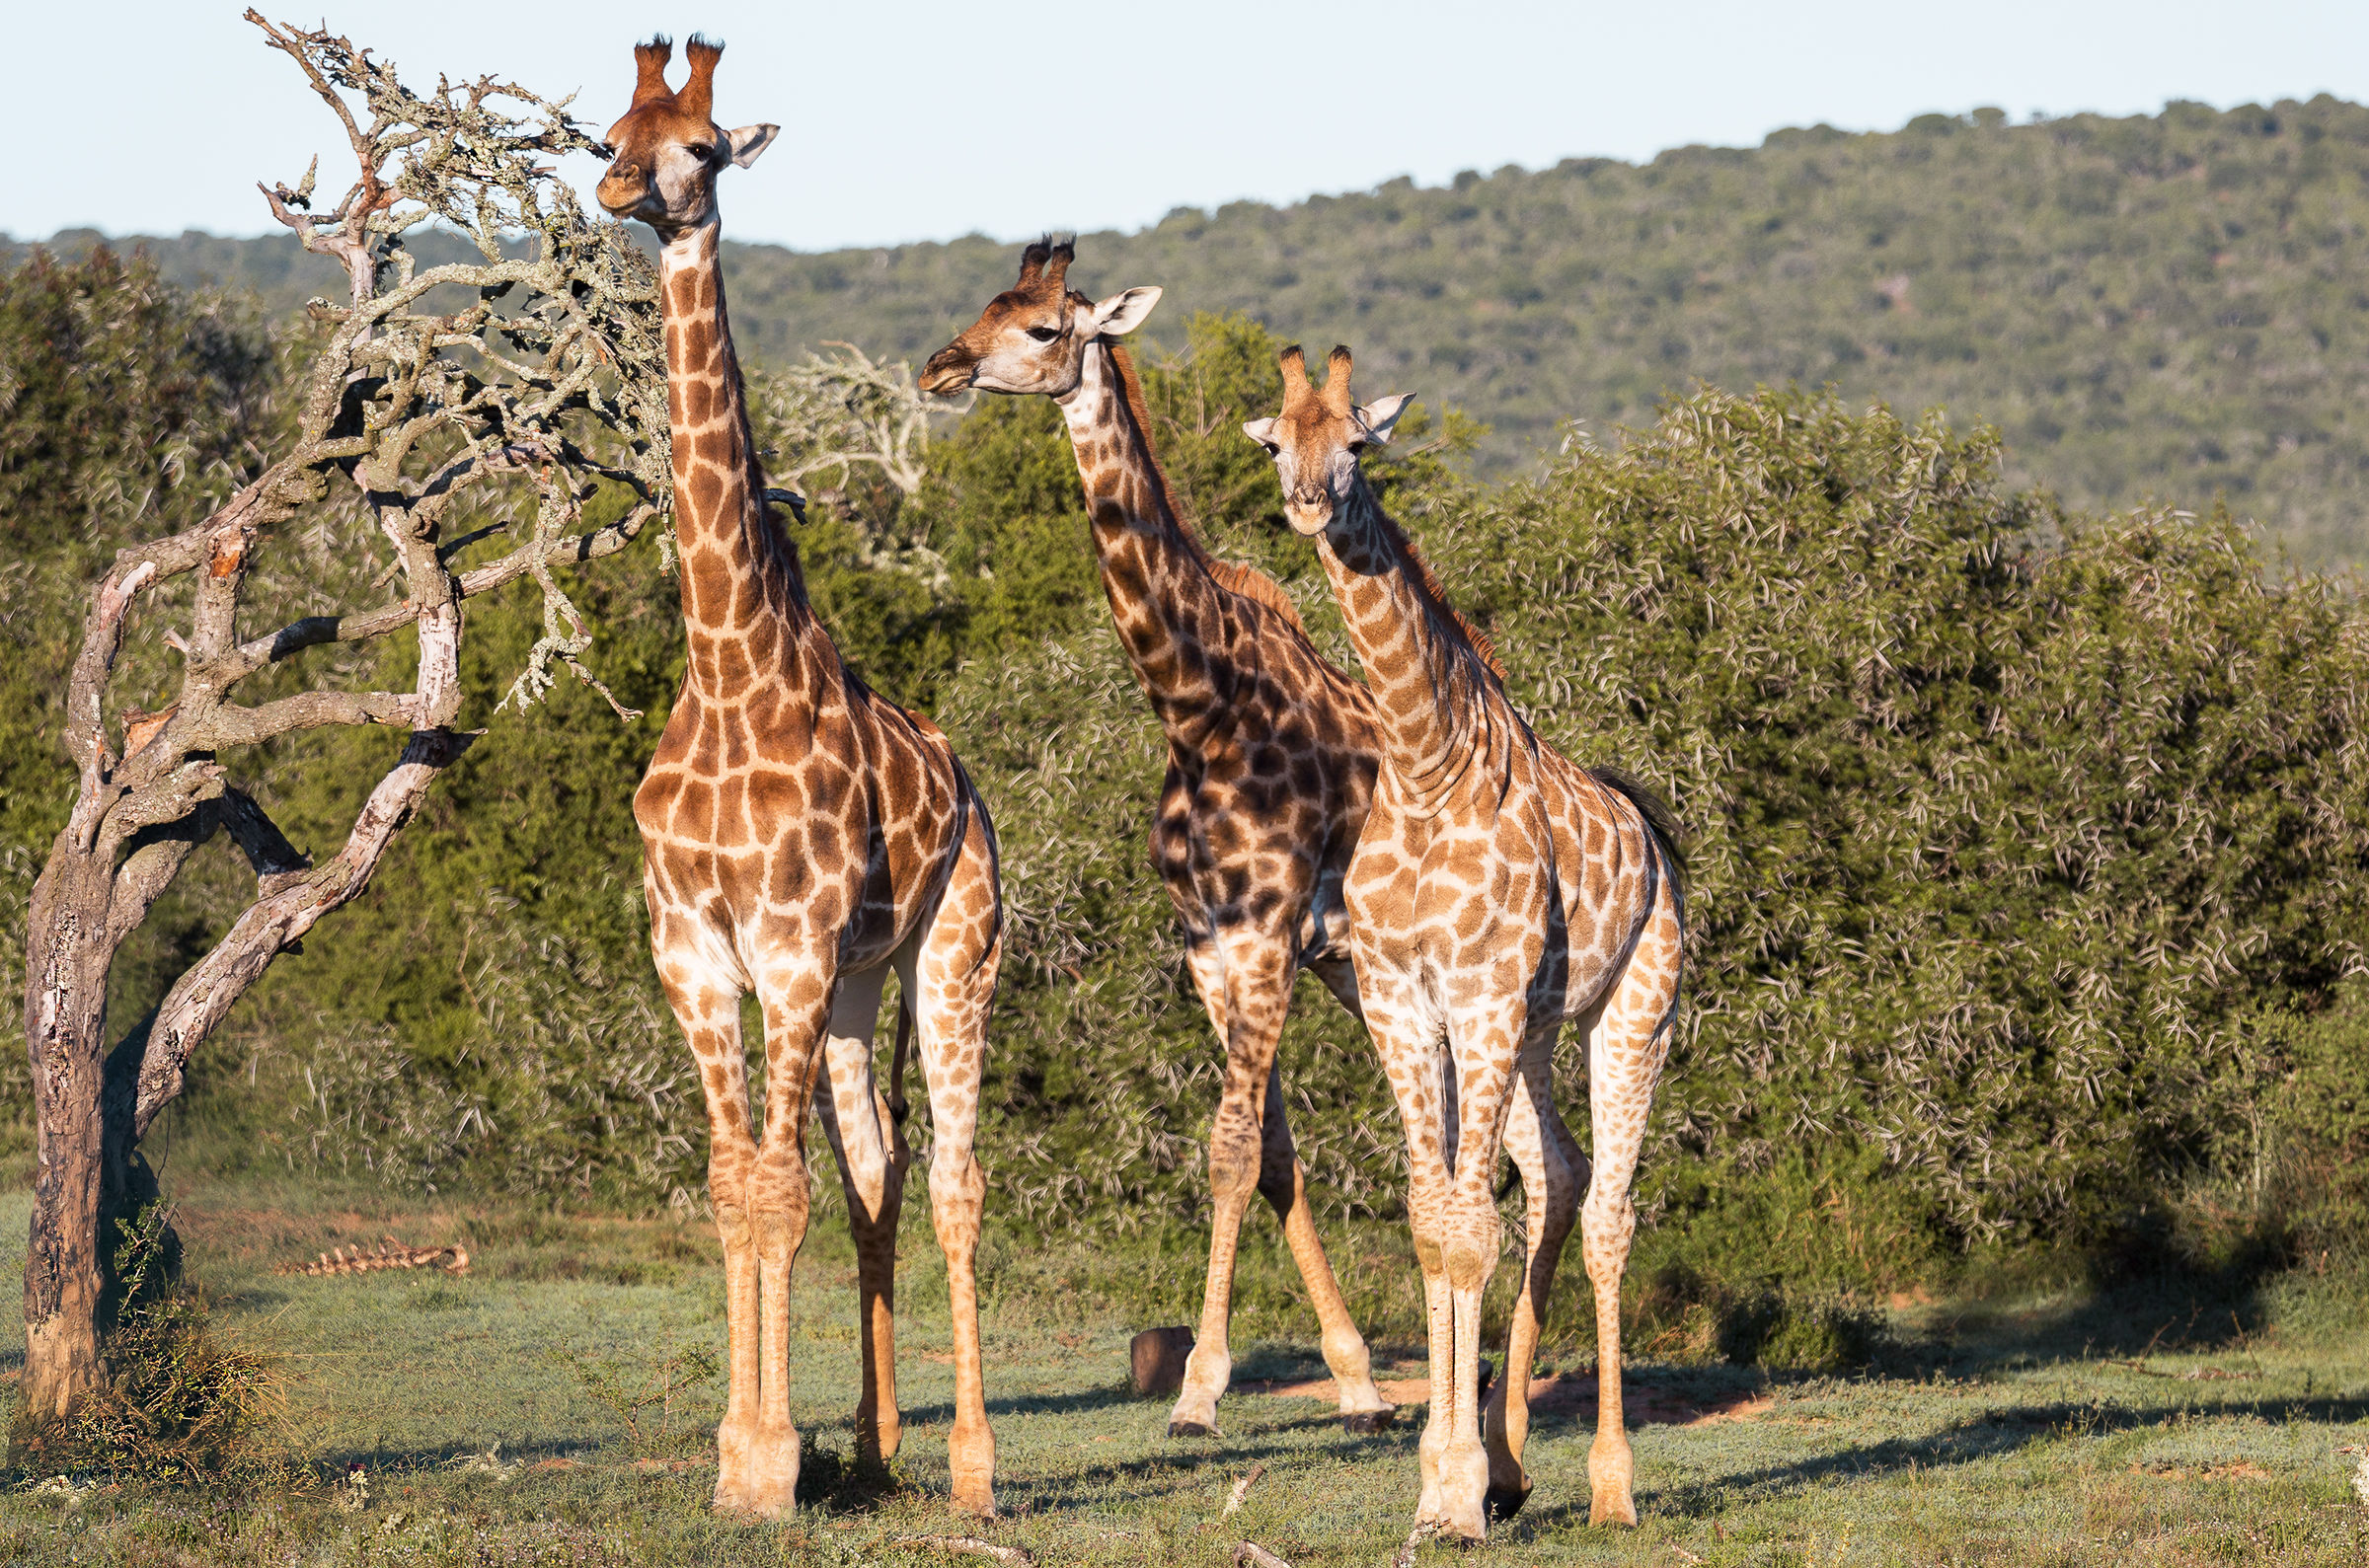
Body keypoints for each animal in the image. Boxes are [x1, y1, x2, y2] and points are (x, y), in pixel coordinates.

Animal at [596, 36, 1001, 1519]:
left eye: (704, 148)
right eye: (608, 130)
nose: (622, 190)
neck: (726, 667)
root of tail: (969, 788)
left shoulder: (782, 943)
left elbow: (775, 1187)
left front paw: (769, 1462)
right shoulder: (696, 950)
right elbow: (739, 1185)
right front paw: (743, 1449)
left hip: (952, 954)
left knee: (955, 1180)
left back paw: (973, 1467)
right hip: (857, 989)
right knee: (879, 1170)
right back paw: (879, 1446)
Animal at [919, 242, 1397, 1439]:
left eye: (1045, 328)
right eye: (987, 306)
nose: (941, 367)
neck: (1201, 708)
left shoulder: (1268, 936)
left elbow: (1229, 1150)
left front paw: (1197, 1390)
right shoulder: (1212, 945)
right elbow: (1271, 1154)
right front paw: (1357, 1378)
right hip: (1360, 967)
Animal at [1245, 346, 1686, 1539]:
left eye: (1358, 442)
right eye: (1277, 438)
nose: (1309, 502)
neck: (1423, 761)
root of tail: (1656, 836)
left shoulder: (1477, 997)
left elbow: (1470, 1228)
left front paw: (1454, 1493)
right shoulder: (1406, 1002)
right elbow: (1436, 1220)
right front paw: (1446, 1483)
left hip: (1634, 1013)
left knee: (1612, 1212)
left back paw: (1611, 1484)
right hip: (1533, 1032)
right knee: (1562, 1174)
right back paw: (1511, 1460)